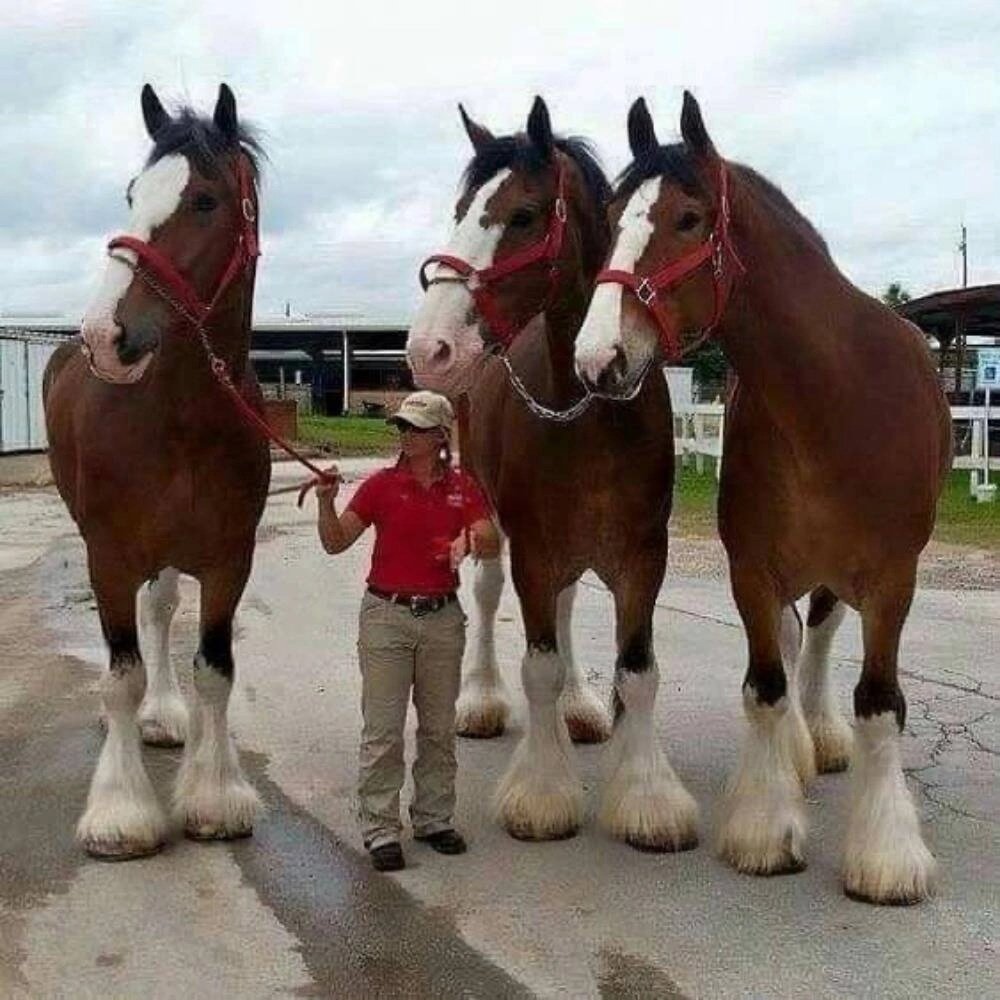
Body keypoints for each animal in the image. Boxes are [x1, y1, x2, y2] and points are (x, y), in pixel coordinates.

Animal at [43, 83, 270, 859]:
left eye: (203, 199)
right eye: (132, 193)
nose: (103, 337)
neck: (182, 420)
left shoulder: (230, 559)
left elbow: (216, 671)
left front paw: (214, 794)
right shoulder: (108, 556)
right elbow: (120, 675)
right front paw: (120, 811)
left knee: (164, 608)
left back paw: (165, 715)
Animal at [406, 97, 700, 851]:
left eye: (523, 215)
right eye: (461, 208)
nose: (429, 348)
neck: (593, 411)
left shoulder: (642, 556)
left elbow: (639, 672)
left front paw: (646, 797)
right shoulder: (534, 550)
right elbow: (535, 665)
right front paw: (542, 794)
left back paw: (577, 706)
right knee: (485, 595)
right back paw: (480, 698)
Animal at [575, 93, 951, 904]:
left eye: (688, 218)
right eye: (614, 214)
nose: (597, 359)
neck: (833, 400)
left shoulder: (892, 581)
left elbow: (880, 705)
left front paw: (886, 856)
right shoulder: (750, 568)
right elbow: (765, 687)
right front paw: (765, 828)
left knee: (823, 636)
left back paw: (825, 740)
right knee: (791, 638)